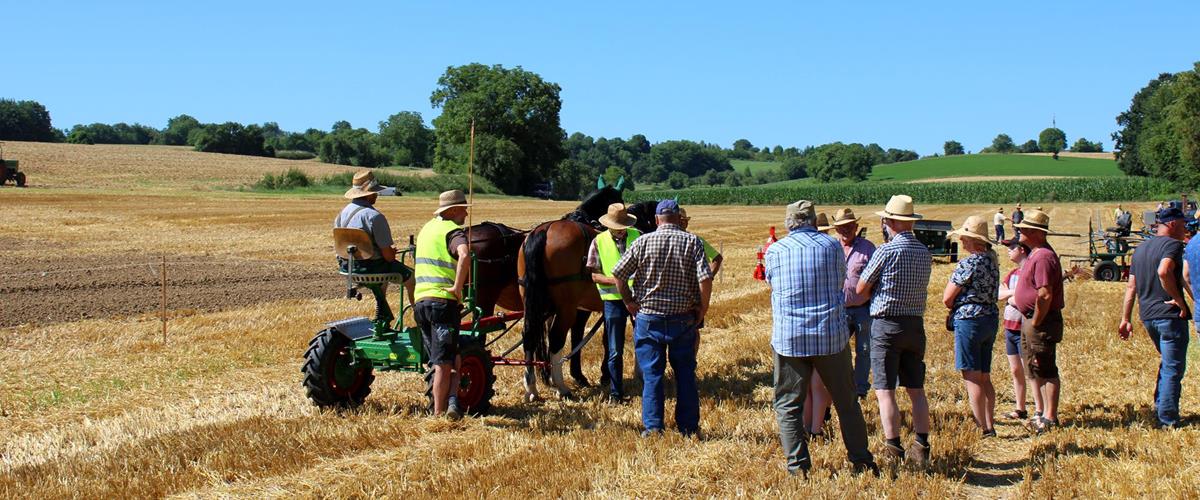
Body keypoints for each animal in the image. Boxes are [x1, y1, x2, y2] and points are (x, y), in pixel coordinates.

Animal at [518, 181, 624, 400]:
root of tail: (543, 232)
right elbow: (606, 339)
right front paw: (604, 375)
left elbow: (578, 336)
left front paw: (579, 376)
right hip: (565, 308)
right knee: (556, 338)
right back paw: (562, 387)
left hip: (531, 302)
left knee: (529, 336)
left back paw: (531, 388)